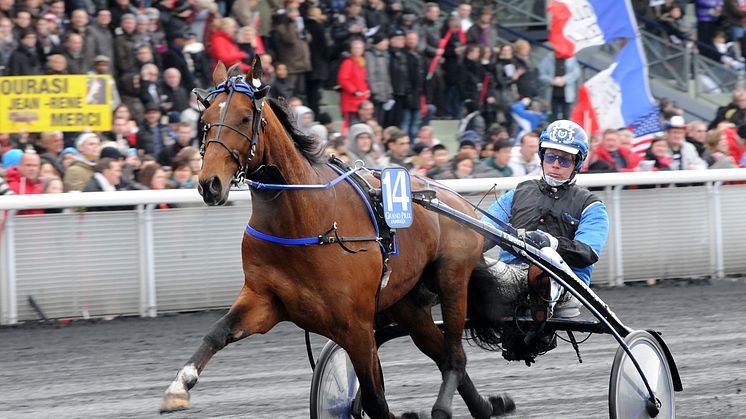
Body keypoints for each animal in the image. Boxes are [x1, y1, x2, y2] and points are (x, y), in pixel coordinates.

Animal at [159, 56, 508, 419]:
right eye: (205, 121)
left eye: (244, 117)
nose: (209, 184)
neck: (307, 219)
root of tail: (458, 201)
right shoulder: (264, 300)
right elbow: (217, 332)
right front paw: (178, 388)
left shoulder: (355, 327)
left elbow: (375, 399)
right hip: (406, 303)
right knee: (442, 353)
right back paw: (485, 406)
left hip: (452, 278)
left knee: (455, 357)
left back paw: (446, 407)